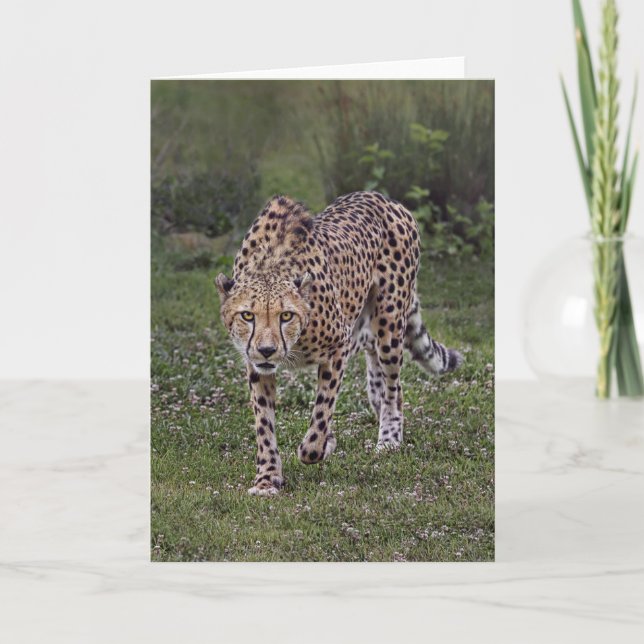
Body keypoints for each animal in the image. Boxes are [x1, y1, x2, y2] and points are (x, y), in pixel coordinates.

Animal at [215, 191, 462, 496]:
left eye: (286, 315)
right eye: (247, 315)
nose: (267, 350)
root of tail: (381, 197)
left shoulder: (337, 346)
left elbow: (322, 411)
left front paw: (320, 446)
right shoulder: (256, 366)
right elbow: (264, 424)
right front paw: (267, 478)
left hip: (389, 320)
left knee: (394, 385)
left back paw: (389, 436)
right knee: (371, 351)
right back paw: (376, 400)